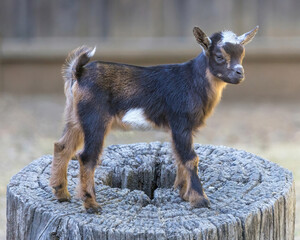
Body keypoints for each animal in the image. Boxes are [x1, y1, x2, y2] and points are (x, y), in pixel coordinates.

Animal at [49, 26, 258, 214]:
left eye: (242, 54)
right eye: (219, 56)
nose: (240, 73)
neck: (193, 81)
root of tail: (78, 72)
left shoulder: (180, 129)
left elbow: (179, 156)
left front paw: (183, 193)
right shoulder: (181, 122)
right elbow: (191, 158)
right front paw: (200, 200)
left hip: (75, 118)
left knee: (62, 146)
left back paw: (61, 193)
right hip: (94, 118)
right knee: (86, 156)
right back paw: (91, 205)